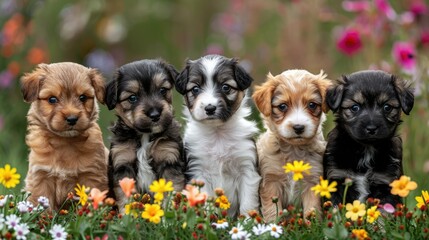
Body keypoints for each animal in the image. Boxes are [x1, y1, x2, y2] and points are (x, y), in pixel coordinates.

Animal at [21, 62, 109, 210]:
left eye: (83, 97)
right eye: (52, 99)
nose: (72, 118)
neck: (64, 142)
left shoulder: (92, 176)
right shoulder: (41, 176)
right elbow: (42, 203)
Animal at [104, 58, 185, 208]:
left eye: (162, 90)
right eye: (132, 98)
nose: (155, 114)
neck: (145, 136)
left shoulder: (169, 159)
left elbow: (171, 191)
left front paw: (170, 212)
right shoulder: (123, 163)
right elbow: (125, 197)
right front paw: (127, 213)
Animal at [175, 54, 260, 218]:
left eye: (226, 87)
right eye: (195, 89)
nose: (210, 108)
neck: (217, 133)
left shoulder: (247, 168)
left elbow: (248, 203)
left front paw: (248, 221)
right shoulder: (198, 171)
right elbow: (205, 200)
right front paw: (209, 220)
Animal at [252, 69, 330, 221]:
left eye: (312, 105)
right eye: (282, 106)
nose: (298, 127)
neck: (294, 149)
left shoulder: (312, 181)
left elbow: (311, 210)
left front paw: (312, 225)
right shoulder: (271, 181)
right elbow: (272, 211)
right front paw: (273, 225)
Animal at [322, 70, 412, 206]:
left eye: (387, 107)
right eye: (355, 107)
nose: (371, 128)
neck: (366, 148)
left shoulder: (386, 182)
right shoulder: (336, 178)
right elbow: (334, 207)